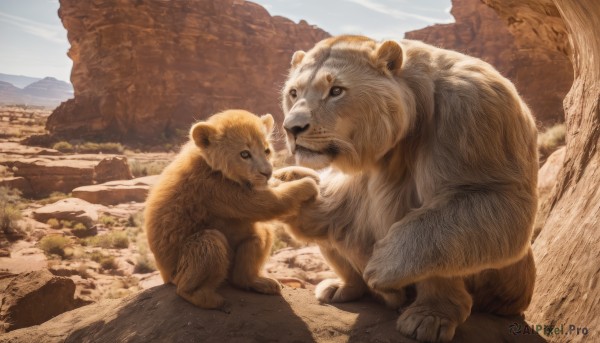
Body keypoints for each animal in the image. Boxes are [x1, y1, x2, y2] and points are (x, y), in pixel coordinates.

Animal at [282, 35, 540, 343]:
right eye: (294, 93)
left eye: (336, 91)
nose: (292, 128)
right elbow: (339, 202)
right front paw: (291, 184)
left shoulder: (478, 113)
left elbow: (496, 205)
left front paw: (384, 264)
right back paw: (341, 287)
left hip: (504, 280)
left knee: (445, 242)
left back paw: (429, 316)